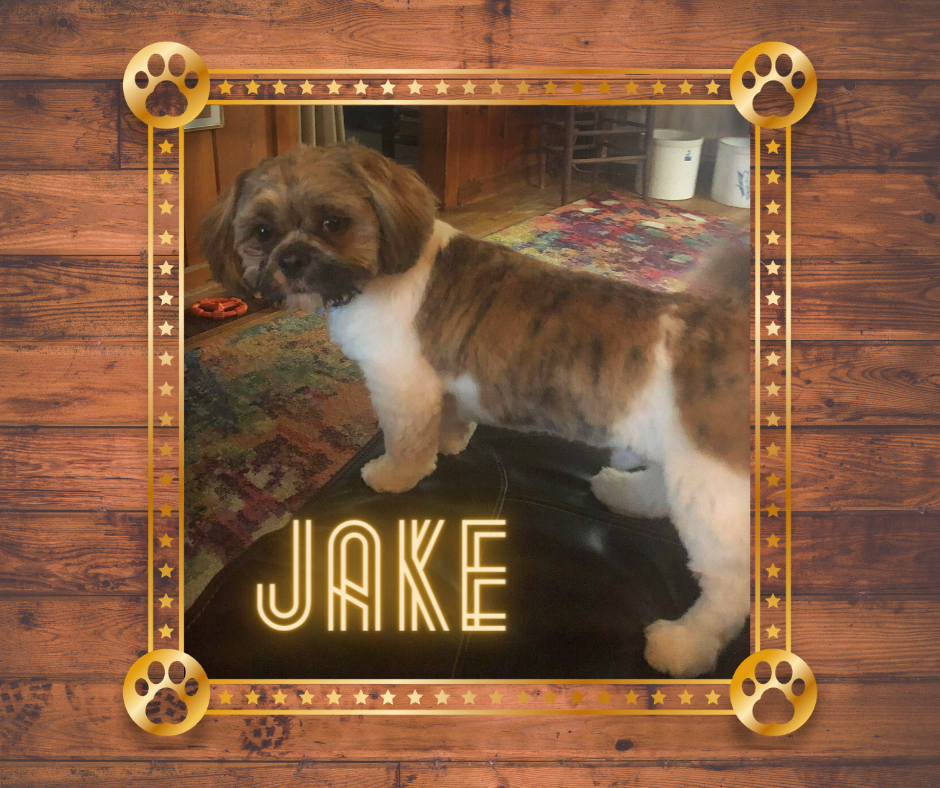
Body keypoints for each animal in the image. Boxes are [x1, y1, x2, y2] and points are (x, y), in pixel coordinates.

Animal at [198, 142, 748, 676]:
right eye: (263, 232)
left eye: (334, 222)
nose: (291, 260)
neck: (378, 275)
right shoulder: (439, 387)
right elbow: (449, 420)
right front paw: (452, 441)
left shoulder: (400, 386)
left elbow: (407, 445)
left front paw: (394, 476)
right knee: (660, 492)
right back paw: (624, 494)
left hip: (711, 487)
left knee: (728, 589)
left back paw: (684, 646)